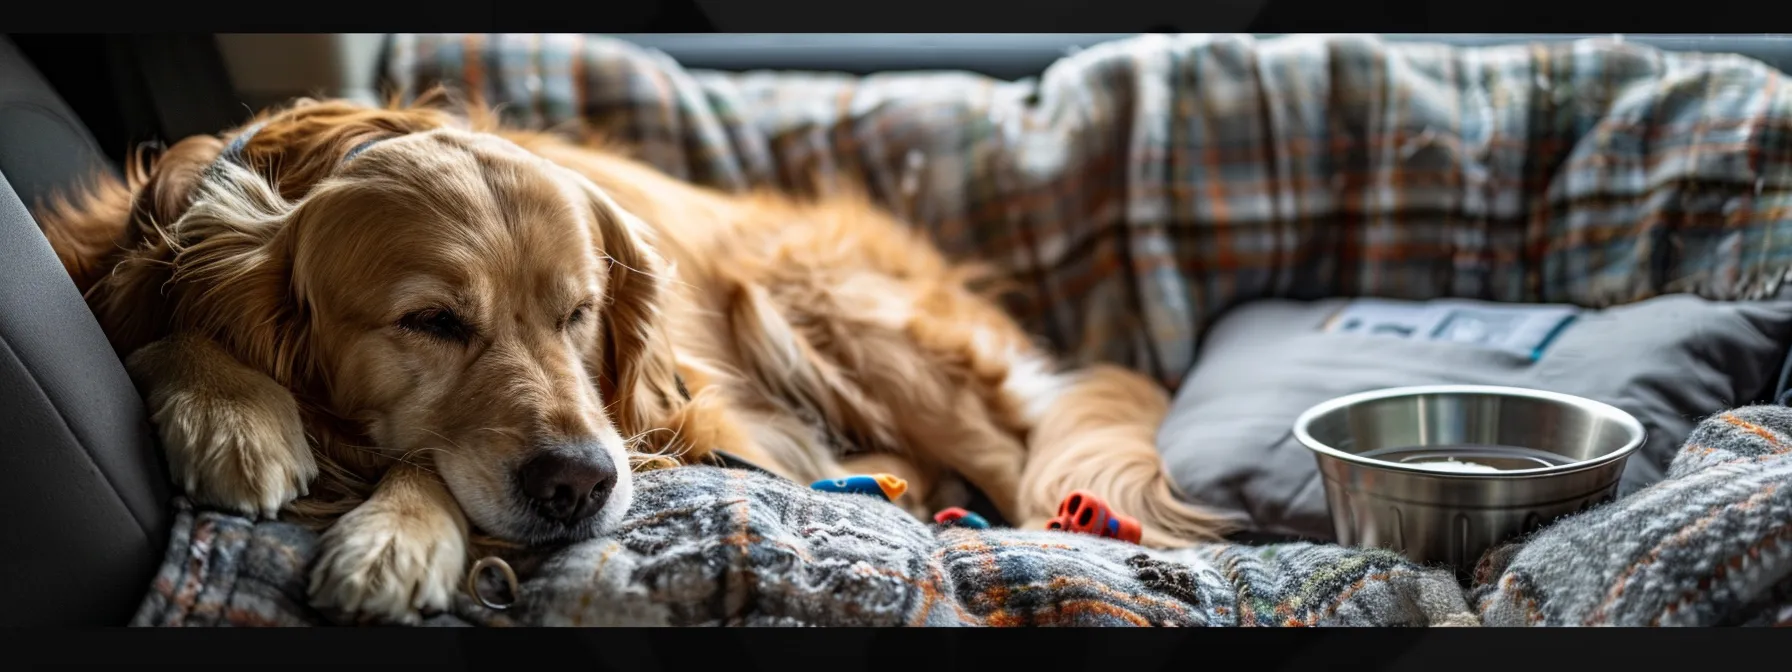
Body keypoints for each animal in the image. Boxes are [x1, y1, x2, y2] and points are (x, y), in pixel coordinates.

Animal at [31, 94, 1232, 627]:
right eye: (431, 322)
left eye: (581, 312)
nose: (578, 483)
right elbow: (156, 329)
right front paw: (232, 412)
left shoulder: (686, 423)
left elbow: (423, 460)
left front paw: (394, 533)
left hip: (822, 308)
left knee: (1017, 463)